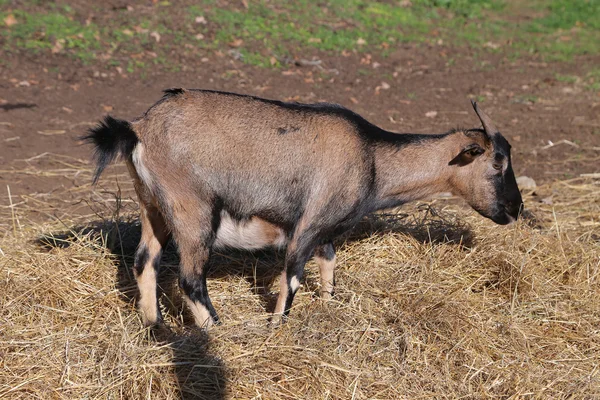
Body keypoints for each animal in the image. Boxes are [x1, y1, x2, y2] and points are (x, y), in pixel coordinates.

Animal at [83, 90, 520, 328]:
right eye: (497, 162)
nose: (514, 209)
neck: (372, 156)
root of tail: (139, 128)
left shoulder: (324, 230)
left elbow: (329, 264)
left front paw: (328, 305)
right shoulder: (307, 226)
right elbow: (291, 278)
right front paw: (277, 328)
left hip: (153, 207)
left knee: (145, 261)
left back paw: (154, 327)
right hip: (193, 212)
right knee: (190, 279)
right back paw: (220, 331)